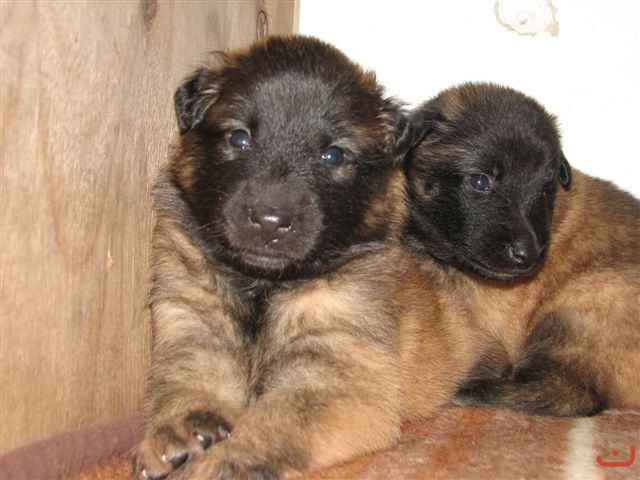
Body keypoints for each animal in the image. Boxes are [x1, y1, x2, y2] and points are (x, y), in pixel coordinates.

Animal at [134, 36, 481, 480]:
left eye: (333, 156)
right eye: (239, 138)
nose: (270, 220)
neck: (262, 288)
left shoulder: (334, 378)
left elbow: (276, 417)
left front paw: (225, 461)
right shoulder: (197, 331)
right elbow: (189, 383)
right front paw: (180, 430)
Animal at [405, 82, 640, 416]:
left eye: (545, 191)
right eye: (480, 181)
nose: (527, 255)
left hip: (582, 306)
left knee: (574, 395)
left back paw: (473, 391)